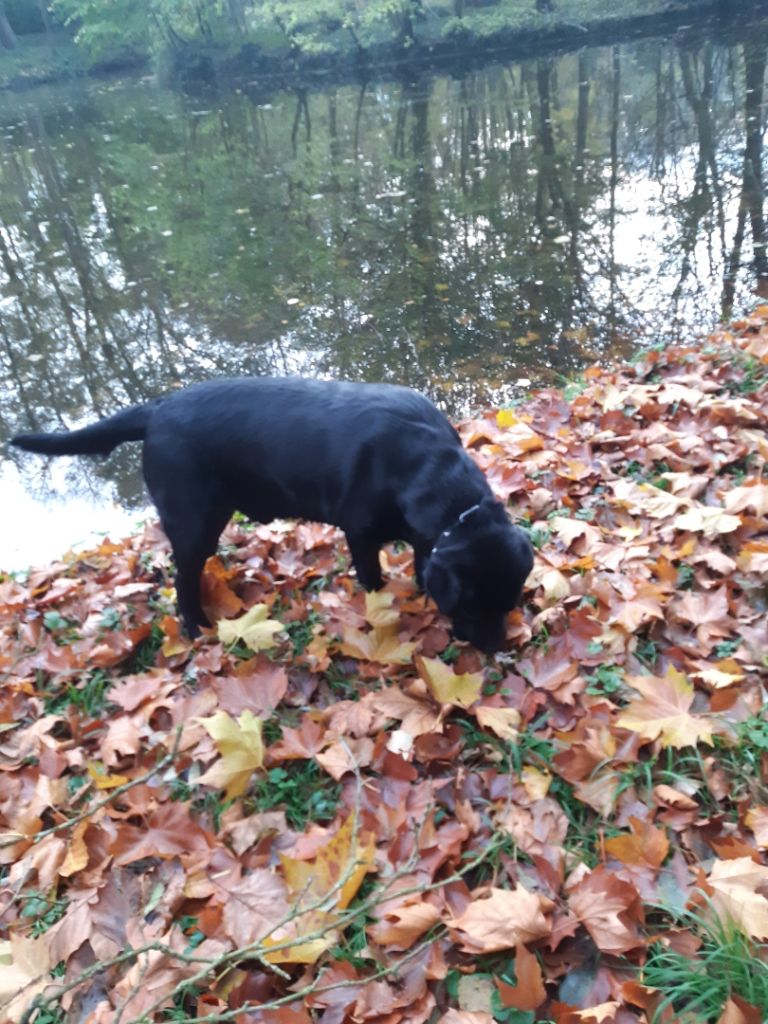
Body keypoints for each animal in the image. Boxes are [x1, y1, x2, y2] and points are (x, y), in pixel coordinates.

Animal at [10, 380, 536, 651]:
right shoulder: (360, 533)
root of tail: (156, 410)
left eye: (509, 603)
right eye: (472, 607)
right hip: (194, 519)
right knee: (181, 580)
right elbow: (372, 578)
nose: (498, 648)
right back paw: (197, 628)